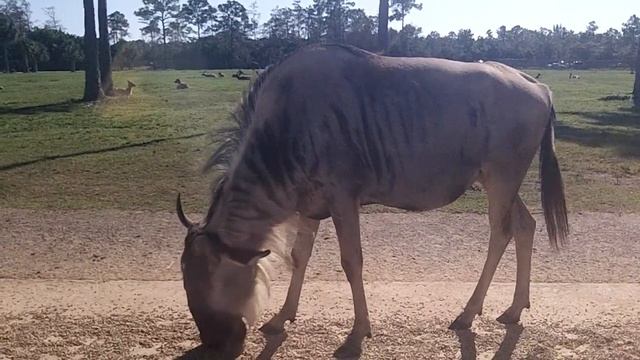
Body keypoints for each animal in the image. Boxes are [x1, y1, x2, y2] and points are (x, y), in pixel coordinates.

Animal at [176, 43, 568, 358]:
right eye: (185, 281)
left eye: (207, 280)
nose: (214, 344)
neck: (284, 128)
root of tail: (538, 85)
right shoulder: (311, 204)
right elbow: (299, 256)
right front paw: (281, 317)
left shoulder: (343, 199)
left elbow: (352, 262)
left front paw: (357, 332)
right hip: (496, 183)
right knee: (525, 225)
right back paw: (514, 308)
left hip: (501, 179)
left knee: (500, 233)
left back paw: (468, 313)